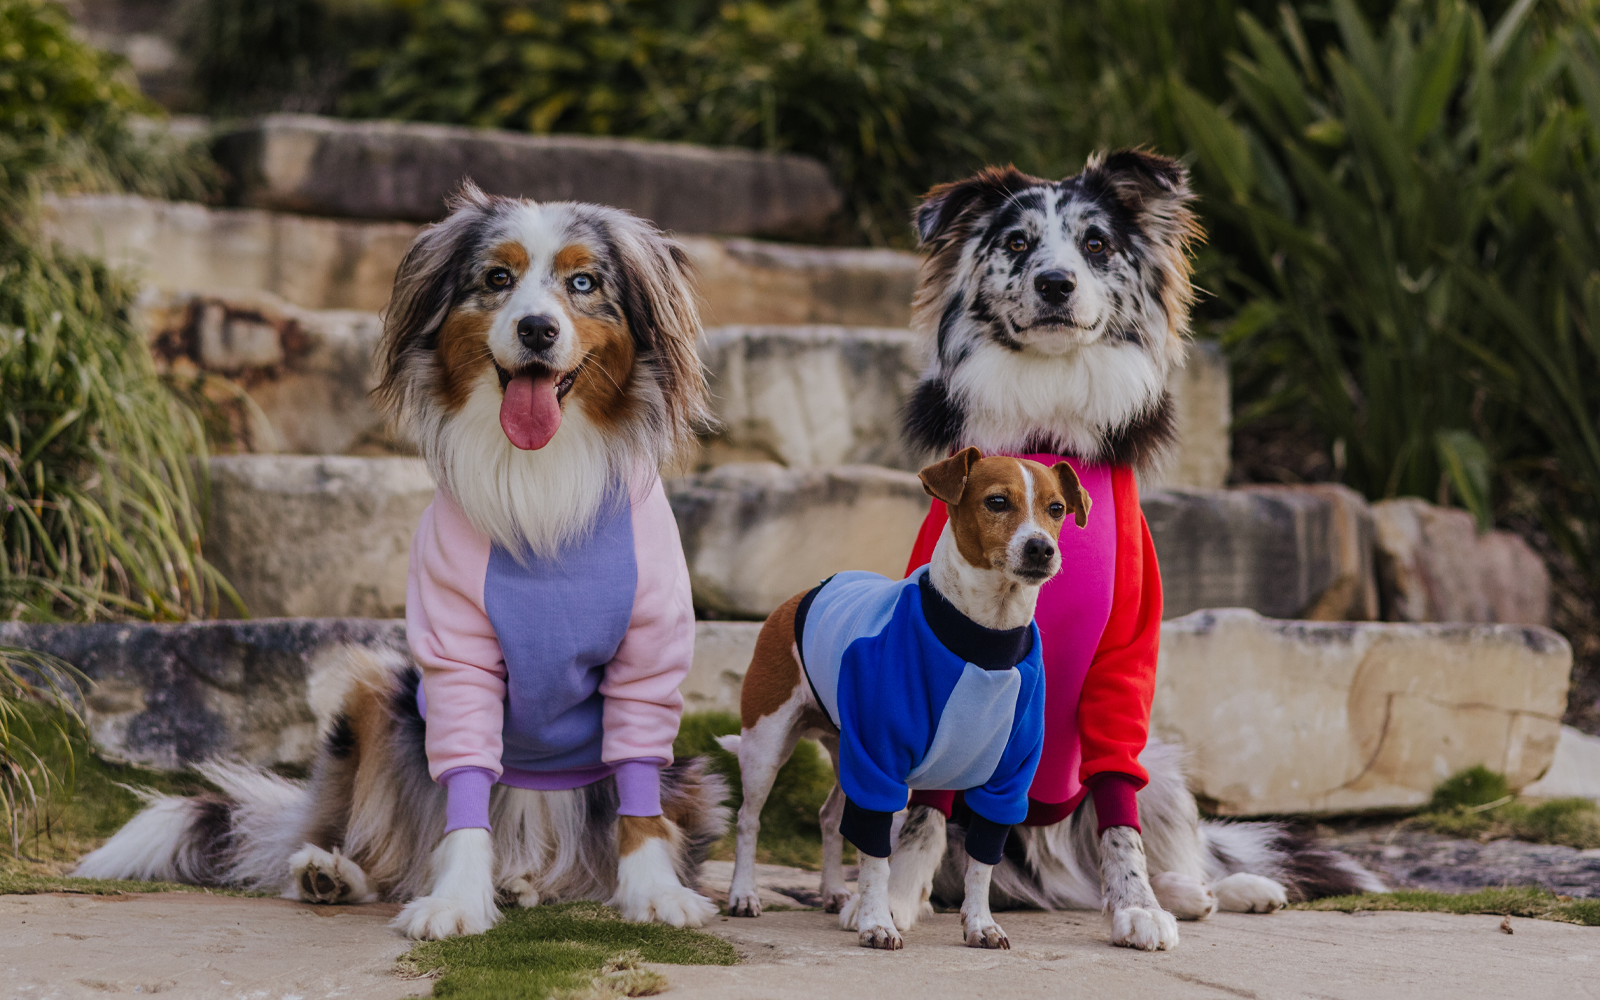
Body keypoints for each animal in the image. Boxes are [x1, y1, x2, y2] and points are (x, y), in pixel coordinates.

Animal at [75, 183, 726, 940]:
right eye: (496, 279)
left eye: (584, 283)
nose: (537, 329)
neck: (539, 476)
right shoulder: (454, 656)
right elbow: (461, 793)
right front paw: (455, 902)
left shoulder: (648, 659)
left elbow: (638, 791)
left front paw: (656, 894)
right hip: (375, 689)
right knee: (381, 843)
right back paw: (336, 873)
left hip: (689, 777)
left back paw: (531, 883)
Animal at [723, 448, 1088, 947]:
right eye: (997, 502)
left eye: (1056, 509)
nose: (1041, 548)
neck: (983, 639)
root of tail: (804, 593)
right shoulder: (880, 765)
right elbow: (877, 860)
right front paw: (877, 922)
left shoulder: (1006, 782)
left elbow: (982, 864)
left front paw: (981, 924)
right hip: (768, 744)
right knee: (749, 818)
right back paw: (743, 894)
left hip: (847, 752)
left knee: (830, 817)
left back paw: (833, 890)